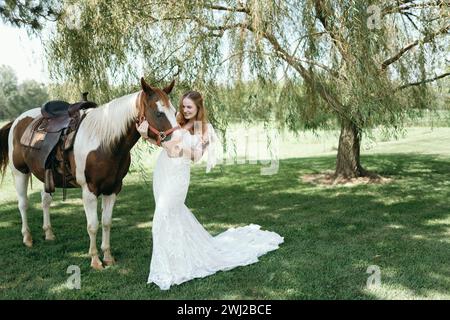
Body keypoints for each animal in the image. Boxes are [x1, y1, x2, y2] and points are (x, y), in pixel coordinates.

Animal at [0, 78, 179, 270]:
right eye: (159, 113)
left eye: (175, 112)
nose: (178, 144)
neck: (104, 143)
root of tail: (17, 121)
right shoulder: (89, 191)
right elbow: (93, 225)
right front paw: (95, 260)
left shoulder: (113, 189)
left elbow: (107, 223)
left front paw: (108, 256)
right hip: (20, 173)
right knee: (23, 204)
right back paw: (27, 238)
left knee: (45, 200)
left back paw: (48, 233)